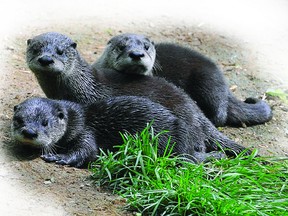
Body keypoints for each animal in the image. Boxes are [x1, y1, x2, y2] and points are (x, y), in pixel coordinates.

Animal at [11, 96, 225, 167]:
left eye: (45, 123)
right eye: (19, 120)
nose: (29, 132)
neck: (76, 121)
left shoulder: (85, 131)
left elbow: (87, 151)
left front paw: (59, 157)